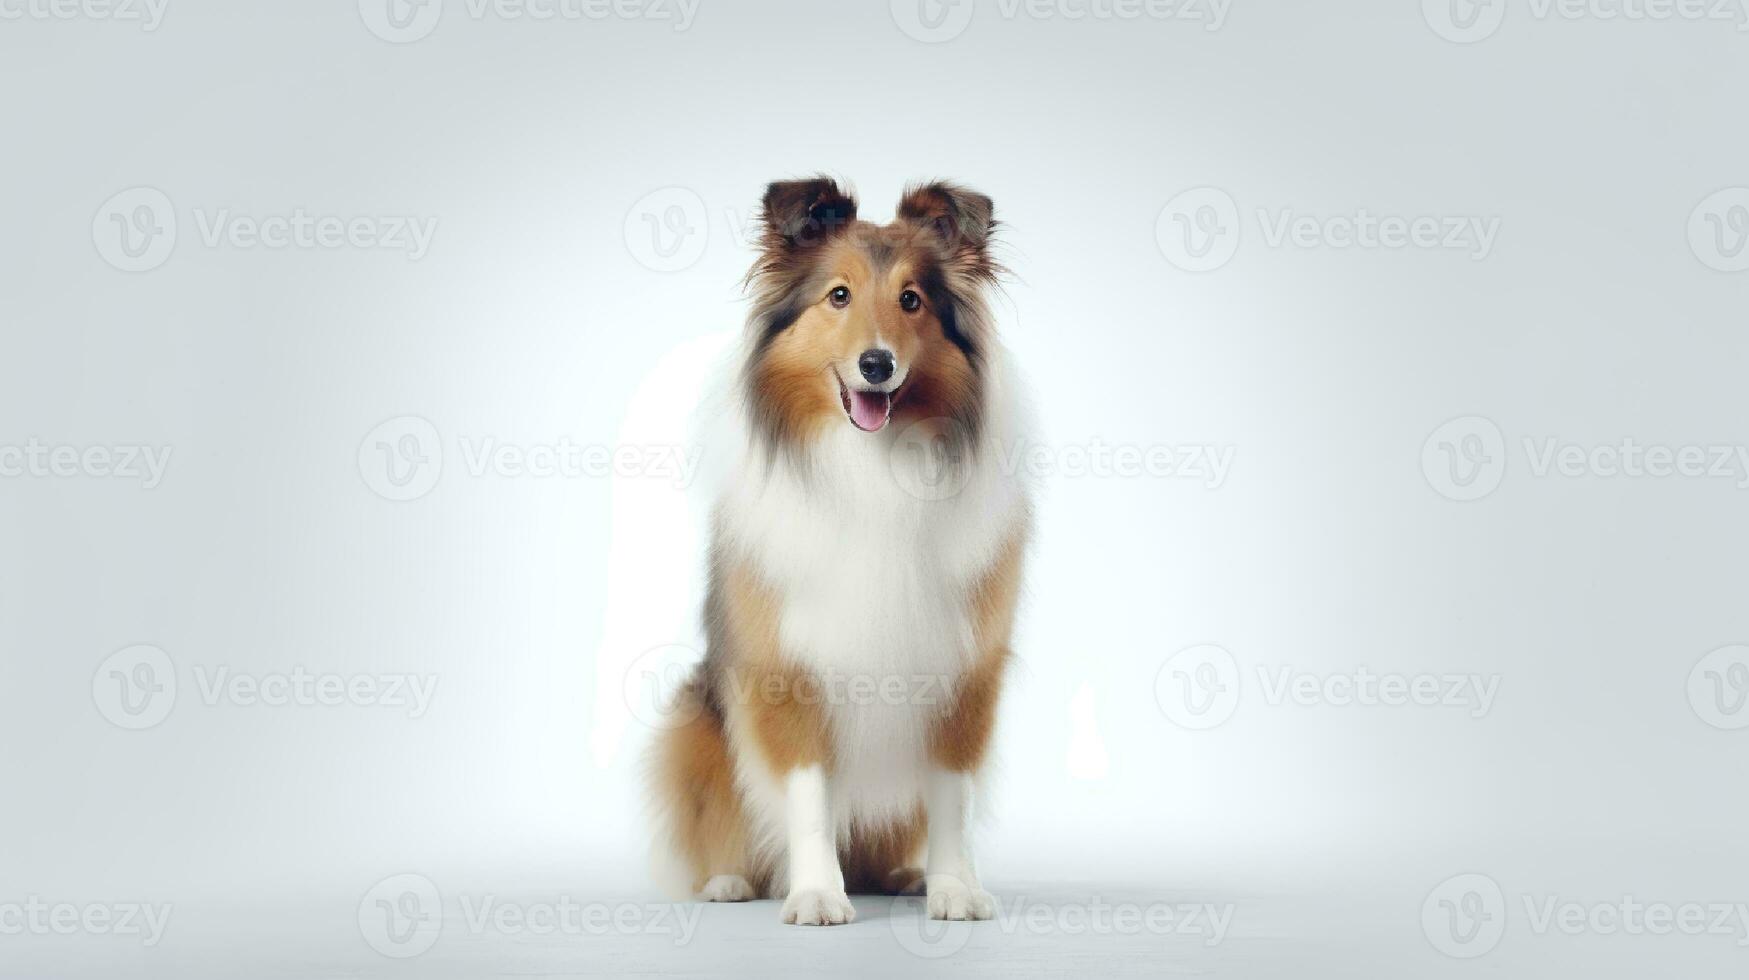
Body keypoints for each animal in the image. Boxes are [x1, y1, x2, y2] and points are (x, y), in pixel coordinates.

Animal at [650, 177, 1028, 924]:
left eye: (911, 299)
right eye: (839, 295)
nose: (876, 365)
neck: (872, 467)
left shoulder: (962, 672)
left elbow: (952, 796)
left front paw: (952, 888)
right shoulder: (787, 670)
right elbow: (808, 797)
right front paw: (818, 894)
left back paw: (907, 876)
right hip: (694, 726)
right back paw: (730, 882)